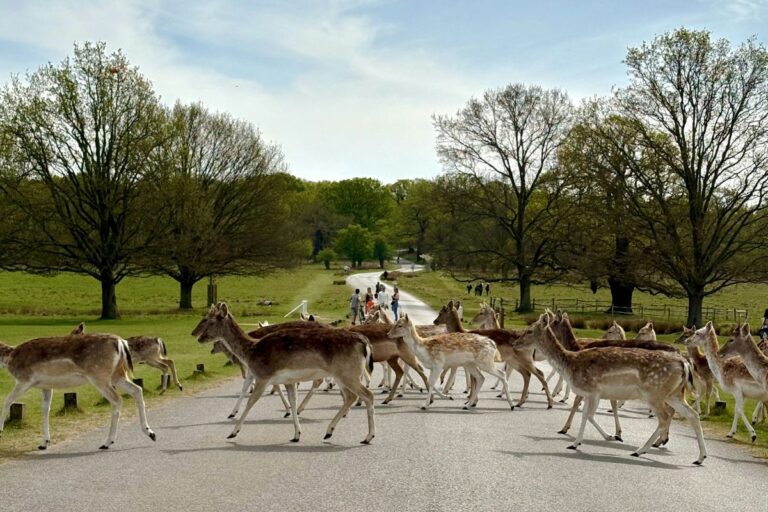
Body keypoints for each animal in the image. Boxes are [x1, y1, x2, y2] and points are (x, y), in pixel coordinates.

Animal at [0, 332, 156, 450]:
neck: (8, 358)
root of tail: (121, 342)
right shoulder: (46, 386)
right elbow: (45, 410)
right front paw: (44, 443)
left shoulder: (24, 379)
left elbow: (7, 401)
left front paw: (1, 432)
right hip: (117, 375)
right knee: (137, 390)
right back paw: (150, 433)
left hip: (99, 375)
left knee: (117, 399)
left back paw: (107, 442)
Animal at [192, 303, 376, 444]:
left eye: (209, 319)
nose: (197, 336)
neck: (251, 350)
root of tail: (364, 342)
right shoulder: (288, 380)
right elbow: (293, 403)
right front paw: (296, 435)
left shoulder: (263, 376)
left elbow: (251, 401)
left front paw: (233, 432)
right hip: (344, 375)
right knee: (351, 397)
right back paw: (329, 432)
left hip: (347, 373)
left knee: (367, 395)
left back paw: (367, 437)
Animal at [387, 313, 515, 410]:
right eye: (395, 323)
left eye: (400, 325)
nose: (388, 334)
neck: (424, 349)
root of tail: (493, 345)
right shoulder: (432, 367)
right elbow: (430, 381)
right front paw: (446, 397)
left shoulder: (438, 363)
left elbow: (432, 382)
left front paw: (424, 405)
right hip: (471, 364)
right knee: (481, 378)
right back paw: (467, 405)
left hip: (485, 362)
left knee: (501, 374)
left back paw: (511, 404)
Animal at [518, 314, 707, 464]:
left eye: (529, 330)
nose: (516, 341)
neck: (571, 364)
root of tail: (684, 362)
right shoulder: (589, 393)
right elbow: (585, 415)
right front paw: (575, 443)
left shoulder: (594, 390)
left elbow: (589, 415)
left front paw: (610, 436)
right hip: (674, 394)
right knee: (692, 415)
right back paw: (699, 457)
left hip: (655, 393)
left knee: (665, 417)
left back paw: (640, 450)